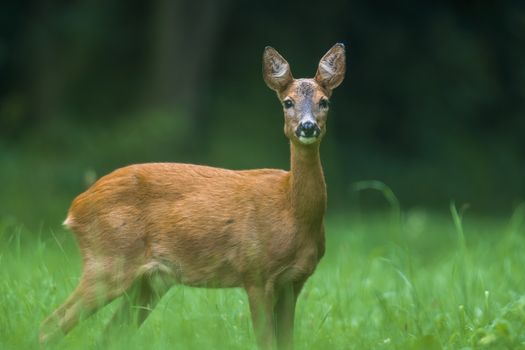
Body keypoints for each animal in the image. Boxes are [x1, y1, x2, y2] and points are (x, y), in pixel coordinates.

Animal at [40, 42, 344, 348]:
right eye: (287, 102)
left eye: (324, 102)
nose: (308, 126)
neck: (290, 211)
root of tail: (75, 208)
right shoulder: (255, 272)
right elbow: (266, 341)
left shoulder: (295, 280)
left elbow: (286, 341)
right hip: (108, 260)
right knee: (52, 324)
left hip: (151, 280)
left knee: (109, 334)